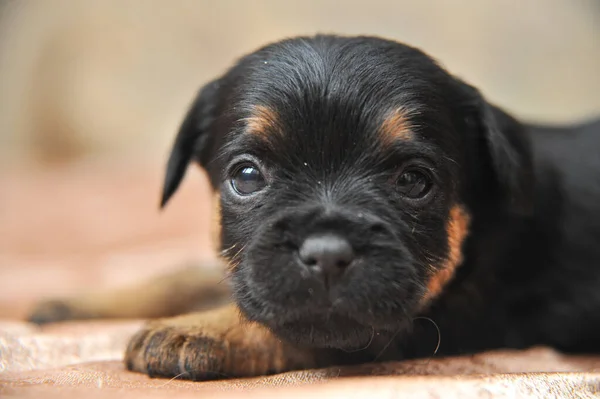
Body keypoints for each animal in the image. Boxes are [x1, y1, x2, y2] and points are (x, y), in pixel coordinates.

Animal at [28, 35, 600, 382]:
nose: (326, 254)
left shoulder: (420, 322)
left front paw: (202, 329)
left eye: (414, 181)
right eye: (246, 176)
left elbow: (288, 325)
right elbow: (189, 275)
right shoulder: (251, 265)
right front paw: (74, 302)